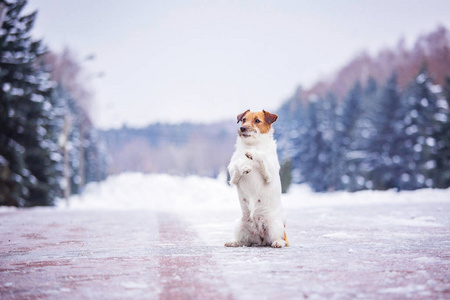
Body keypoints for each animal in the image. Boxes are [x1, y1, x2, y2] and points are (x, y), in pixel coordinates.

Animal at [224, 109, 290, 247]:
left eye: (257, 120)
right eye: (243, 119)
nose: (242, 128)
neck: (252, 144)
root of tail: (260, 237)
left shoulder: (269, 175)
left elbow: (261, 157)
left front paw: (252, 154)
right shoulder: (233, 177)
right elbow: (237, 166)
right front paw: (244, 167)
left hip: (275, 226)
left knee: (280, 239)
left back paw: (278, 242)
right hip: (239, 226)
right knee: (243, 241)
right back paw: (233, 242)